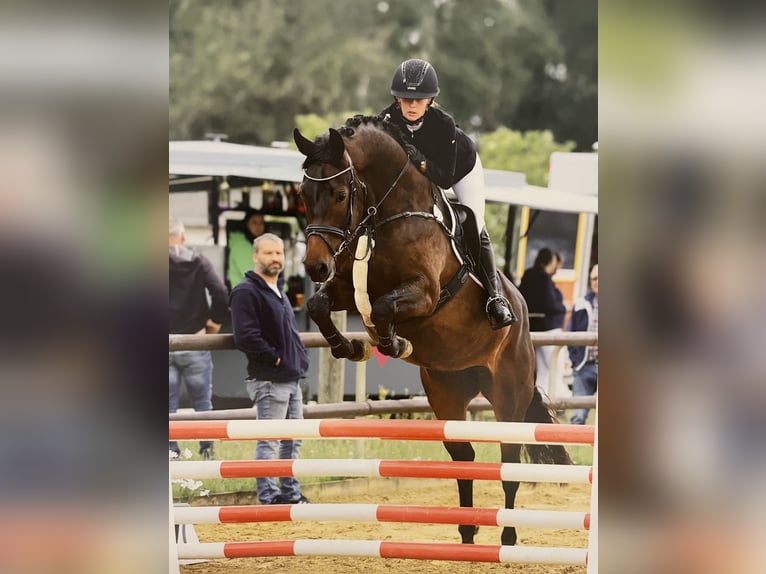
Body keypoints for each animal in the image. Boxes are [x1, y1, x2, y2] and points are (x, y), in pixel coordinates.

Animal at [294, 115, 568, 548]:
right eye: (304, 193)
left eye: (339, 193)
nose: (316, 267)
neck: (388, 214)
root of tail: (524, 317)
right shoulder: (349, 291)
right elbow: (320, 306)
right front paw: (350, 347)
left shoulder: (424, 293)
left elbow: (384, 310)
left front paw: (392, 342)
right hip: (447, 391)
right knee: (465, 456)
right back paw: (468, 534)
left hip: (509, 391)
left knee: (508, 457)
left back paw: (507, 537)